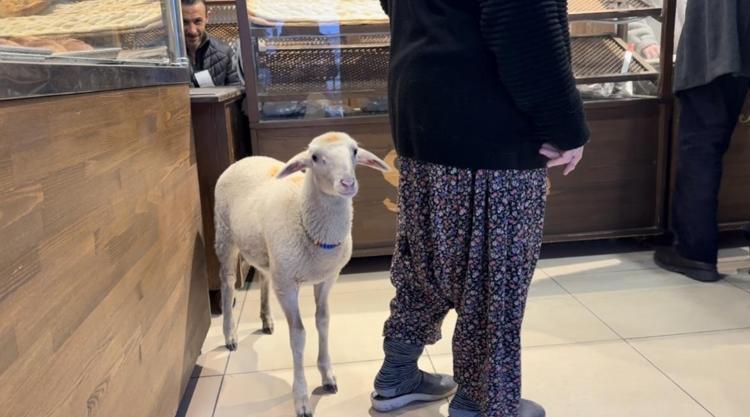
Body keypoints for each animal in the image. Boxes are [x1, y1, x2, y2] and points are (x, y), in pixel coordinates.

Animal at [213, 131, 390, 417]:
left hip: (266, 252)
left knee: (263, 276)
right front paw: (302, 398)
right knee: (227, 282)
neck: (303, 212)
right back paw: (230, 334)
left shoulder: (327, 278)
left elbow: (323, 321)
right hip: (225, 234)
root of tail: (246, 159)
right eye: (315, 157)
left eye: (354, 151)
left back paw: (266, 319)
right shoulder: (287, 285)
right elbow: (298, 335)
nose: (347, 183)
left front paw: (327, 375)